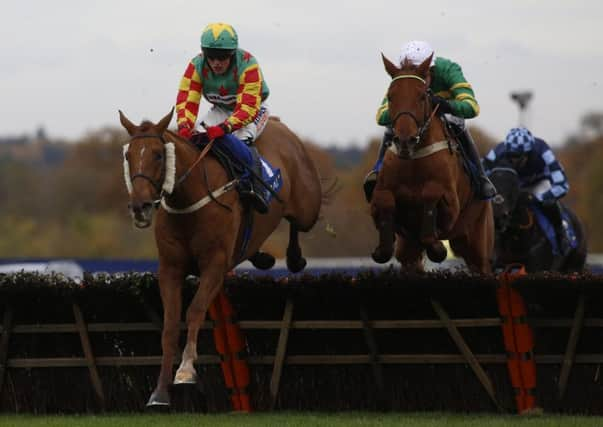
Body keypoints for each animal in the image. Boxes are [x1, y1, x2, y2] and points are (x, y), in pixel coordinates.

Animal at [119, 108, 324, 406]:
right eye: (128, 155)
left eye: (158, 154)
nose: (140, 207)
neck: (189, 201)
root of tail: (278, 126)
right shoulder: (170, 268)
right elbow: (169, 325)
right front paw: (160, 391)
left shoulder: (214, 265)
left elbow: (194, 311)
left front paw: (185, 371)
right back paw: (262, 257)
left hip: (308, 207)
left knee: (300, 223)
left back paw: (295, 258)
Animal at [372, 54, 496, 274]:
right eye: (390, 96)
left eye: (422, 96)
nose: (405, 140)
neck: (413, 161)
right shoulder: (381, 196)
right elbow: (384, 199)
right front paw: (383, 249)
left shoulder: (451, 203)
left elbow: (431, 194)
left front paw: (436, 247)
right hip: (409, 251)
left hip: (478, 245)